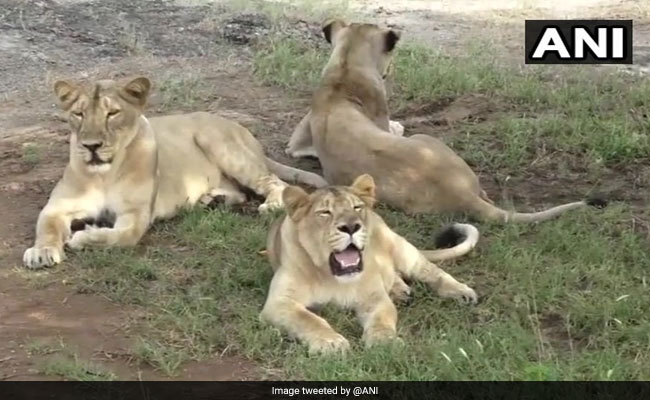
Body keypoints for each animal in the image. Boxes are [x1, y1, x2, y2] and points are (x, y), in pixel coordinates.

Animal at [23, 76, 327, 269]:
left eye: (113, 114)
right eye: (79, 114)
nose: (91, 146)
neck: (103, 174)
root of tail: (240, 127)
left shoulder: (136, 216)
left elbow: (118, 237)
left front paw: (83, 237)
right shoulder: (57, 208)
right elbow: (46, 228)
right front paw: (41, 252)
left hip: (219, 143)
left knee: (273, 181)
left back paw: (270, 204)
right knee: (241, 193)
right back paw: (212, 201)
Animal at [260, 174, 479, 354]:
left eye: (356, 207)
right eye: (325, 212)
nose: (351, 226)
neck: (333, 276)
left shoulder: (375, 298)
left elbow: (382, 319)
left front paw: (384, 341)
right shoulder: (280, 302)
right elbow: (310, 320)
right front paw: (331, 342)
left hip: (400, 247)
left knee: (432, 271)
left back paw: (461, 292)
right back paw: (400, 291)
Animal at [286, 20, 606, 222]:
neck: (345, 66)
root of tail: (461, 194)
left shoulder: (297, 140)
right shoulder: (381, 117)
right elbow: (394, 126)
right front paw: (398, 125)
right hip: (428, 140)